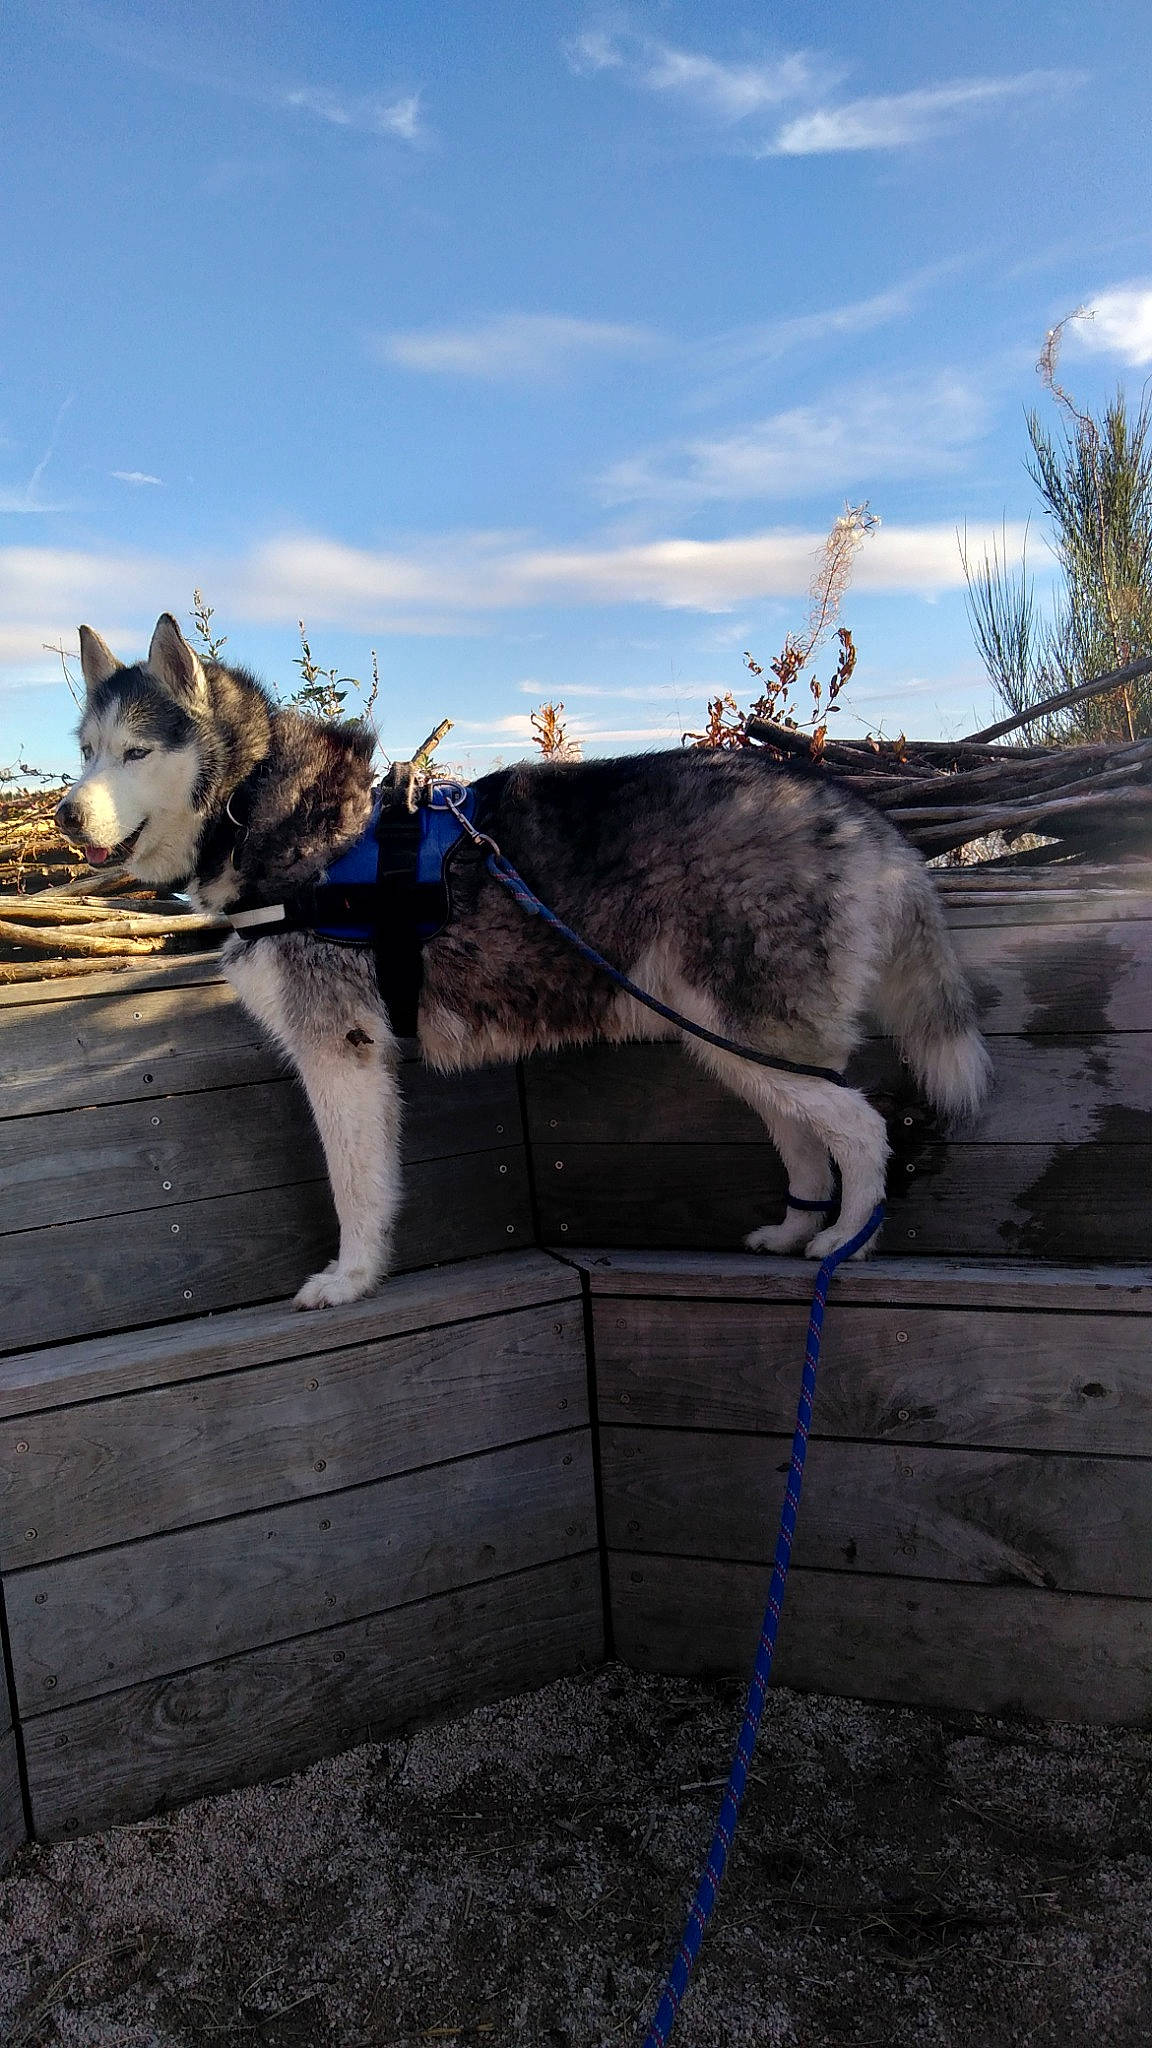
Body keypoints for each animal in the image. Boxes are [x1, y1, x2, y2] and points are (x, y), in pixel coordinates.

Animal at [58, 613, 990, 1308]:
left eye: (137, 752)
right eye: (87, 751)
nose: (65, 814)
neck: (261, 810)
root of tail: (858, 813)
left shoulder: (341, 1057)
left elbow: (355, 1188)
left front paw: (350, 1280)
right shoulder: (364, 1061)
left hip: (749, 1034)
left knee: (862, 1128)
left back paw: (848, 1243)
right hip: (730, 1043)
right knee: (805, 1137)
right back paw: (798, 1231)